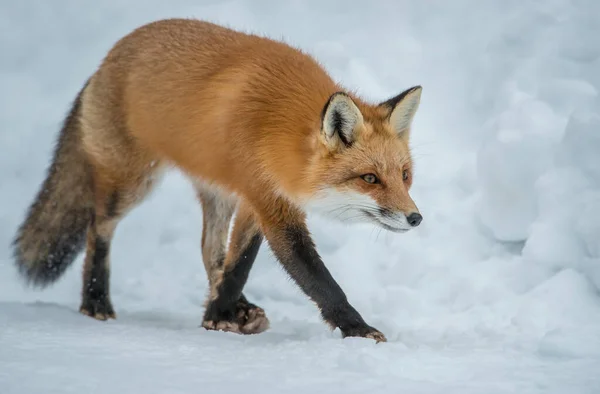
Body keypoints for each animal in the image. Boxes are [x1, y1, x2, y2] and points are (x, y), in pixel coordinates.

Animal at [11, 18, 422, 344]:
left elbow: (237, 264)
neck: (278, 130)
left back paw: (235, 308)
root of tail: (106, 60)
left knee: (210, 249)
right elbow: (318, 279)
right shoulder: (271, 207)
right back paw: (95, 301)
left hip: (218, 192)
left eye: (404, 176)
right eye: (369, 178)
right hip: (132, 184)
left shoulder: (258, 198)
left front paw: (218, 315)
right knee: (98, 228)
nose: (415, 218)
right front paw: (357, 328)